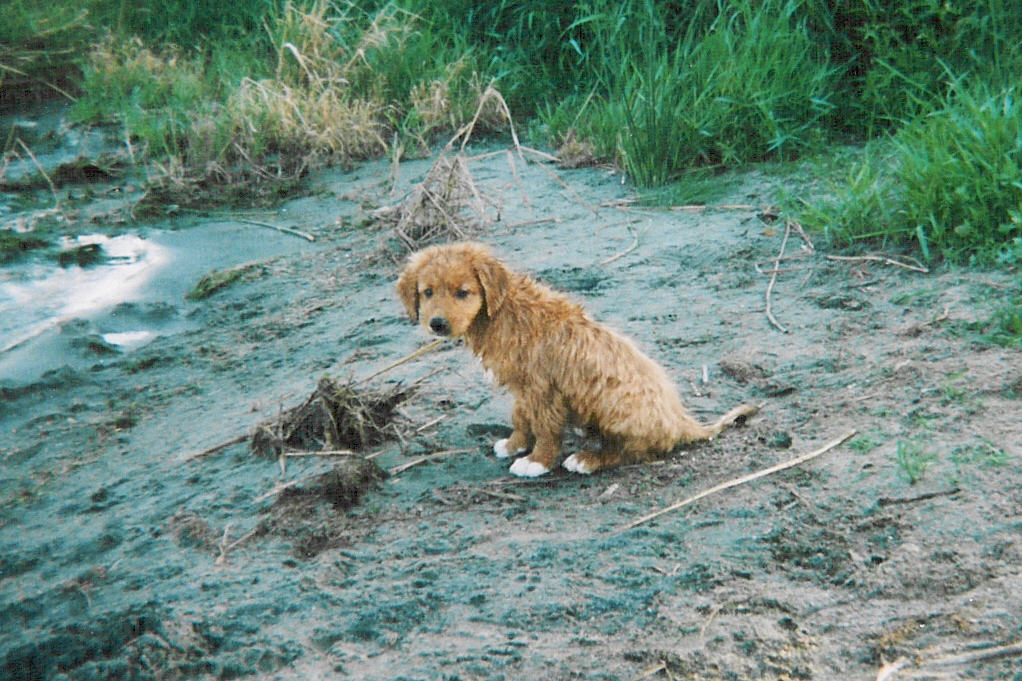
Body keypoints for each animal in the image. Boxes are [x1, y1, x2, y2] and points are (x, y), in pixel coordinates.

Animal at [394, 241, 756, 474]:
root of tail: (682, 421)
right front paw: (514, 445)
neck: (501, 312)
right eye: (427, 292)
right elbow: (520, 417)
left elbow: (545, 428)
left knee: (635, 451)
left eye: (463, 292)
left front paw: (537, 461)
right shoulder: (523, 386)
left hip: (616, 403)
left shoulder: (542, 388)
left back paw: (588, 459)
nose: (437, 324)